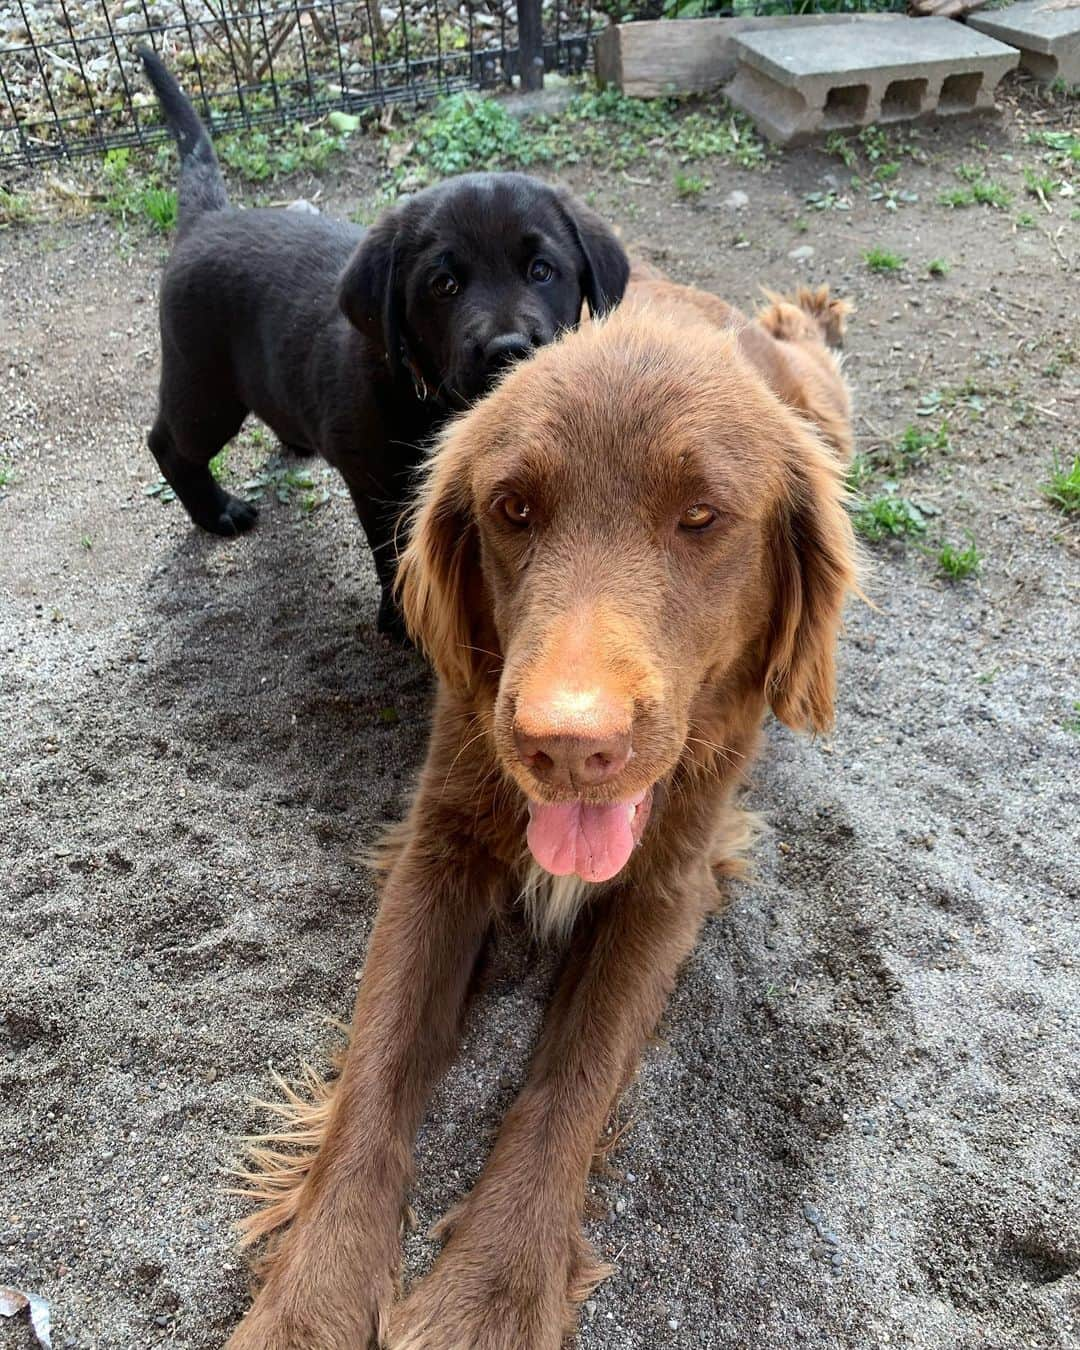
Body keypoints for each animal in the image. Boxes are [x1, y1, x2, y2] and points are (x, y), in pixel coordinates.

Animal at [143, 51, 631, 637]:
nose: (508, 349)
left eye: (542, 270)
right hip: (204, 389)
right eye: (444, 285)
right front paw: (404, 618)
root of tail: (208, 219)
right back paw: (215, 510)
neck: (427, 395)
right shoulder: (378, 485)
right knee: (167, 443)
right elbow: (396, 552)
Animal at [225, 276, 858, 1350]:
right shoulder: (437, 847)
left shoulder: (667, 887)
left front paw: (489, 1296)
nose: (565, 745)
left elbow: (573, 1078)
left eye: (701, 515)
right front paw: (306, 1306)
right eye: (513, 509)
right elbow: (374, 1064)